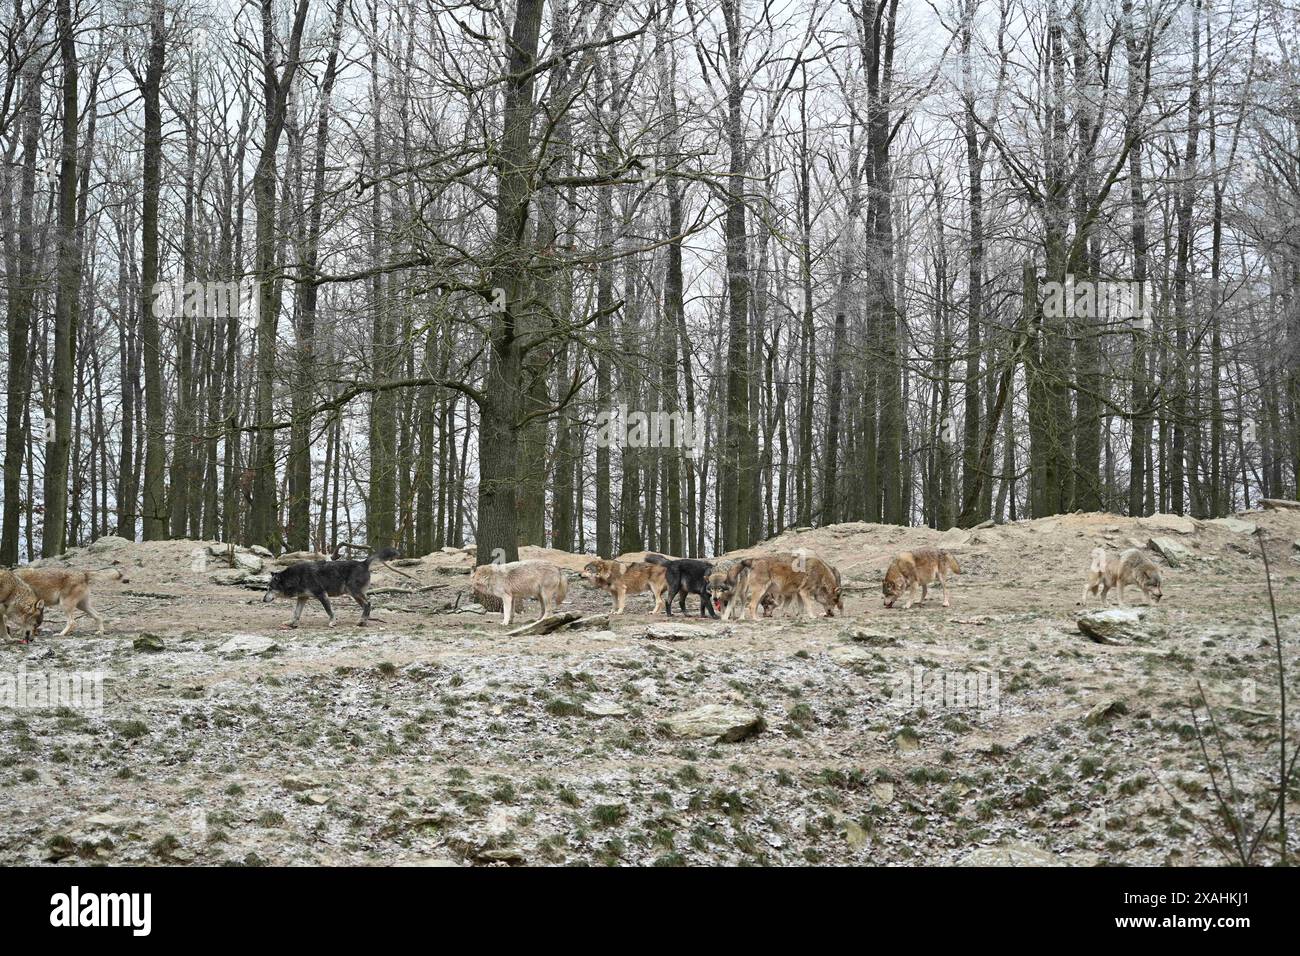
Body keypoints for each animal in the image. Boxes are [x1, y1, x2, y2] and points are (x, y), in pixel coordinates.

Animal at [262, 546, 399, 628]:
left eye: (270, 588)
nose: (263, 600)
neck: (297, 577)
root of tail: (363, 563)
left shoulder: (322, 595)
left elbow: (329, 611)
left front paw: (333, 622)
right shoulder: (302, 598)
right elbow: (296, 612)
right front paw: (291, 623)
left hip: (354, 593)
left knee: (368, 604)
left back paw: (362, 621)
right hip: (355, 595)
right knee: (367, 605)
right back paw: (363, 621)